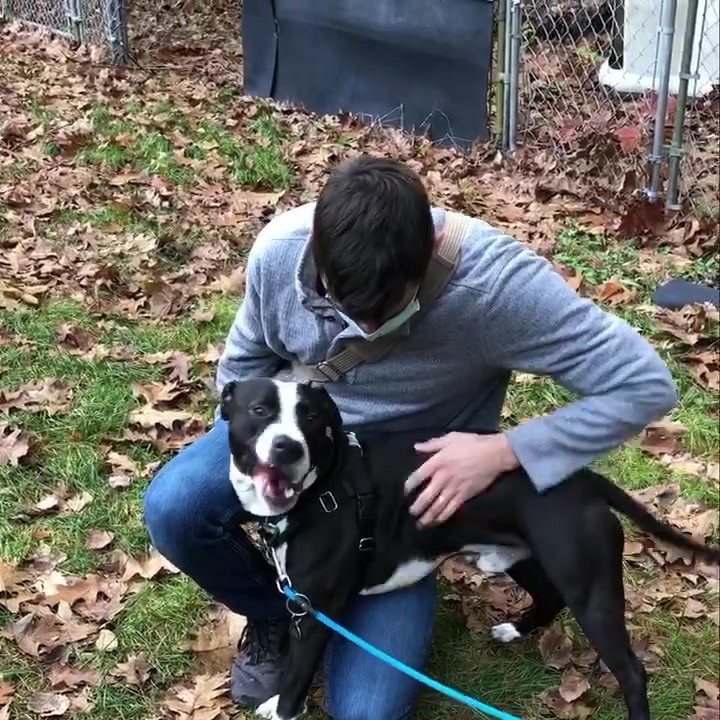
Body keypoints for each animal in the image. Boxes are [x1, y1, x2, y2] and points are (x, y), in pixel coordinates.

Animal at [221, 376, 720, 720]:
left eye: (310, 418)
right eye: (260, 410)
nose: (287, 448)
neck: (322, 488)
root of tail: (585, 479)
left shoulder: (315, 612)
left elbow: (296, 677)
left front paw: (282, 709)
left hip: (592, 592)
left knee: (632, 672)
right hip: (521, 555)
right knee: (549, 595)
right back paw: (516, 630)